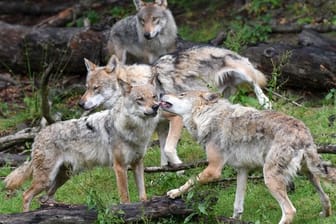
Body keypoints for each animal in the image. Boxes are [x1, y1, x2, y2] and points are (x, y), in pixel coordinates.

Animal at [4, 78, 160, 211]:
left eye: (154, 97)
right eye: (140, 99)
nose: (156, 107)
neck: (136, 131)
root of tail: (38, 135)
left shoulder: (138, 163)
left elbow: (143, 193)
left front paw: (146, 205)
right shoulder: (120, 167)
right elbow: (125, 197)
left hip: (63, 177)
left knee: (45, 197)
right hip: (46, 179)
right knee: (26, 195)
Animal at [80, 44, 272, 166]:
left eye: (96, 88)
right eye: (87, 87)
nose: (81, 104)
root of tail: (222, 47)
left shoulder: (176, 119)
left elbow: (168, 149)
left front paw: (179, 165)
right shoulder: (161, 126)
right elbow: (163, 153)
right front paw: (169, 170)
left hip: (244, 73)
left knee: (257, 83)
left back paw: (265, 102)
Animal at [159, 89, 336, 224]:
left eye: (181, 94)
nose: (161, 93)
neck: (209, 116)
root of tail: (303, 132)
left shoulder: (213, 170)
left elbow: (190, 181)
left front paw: (174, 193)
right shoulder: (243, 170)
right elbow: (238, 205)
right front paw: (233, 220)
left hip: (270, 179)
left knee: (290, 210)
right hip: (309, 174)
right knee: (326, 198)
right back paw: (324, 216)